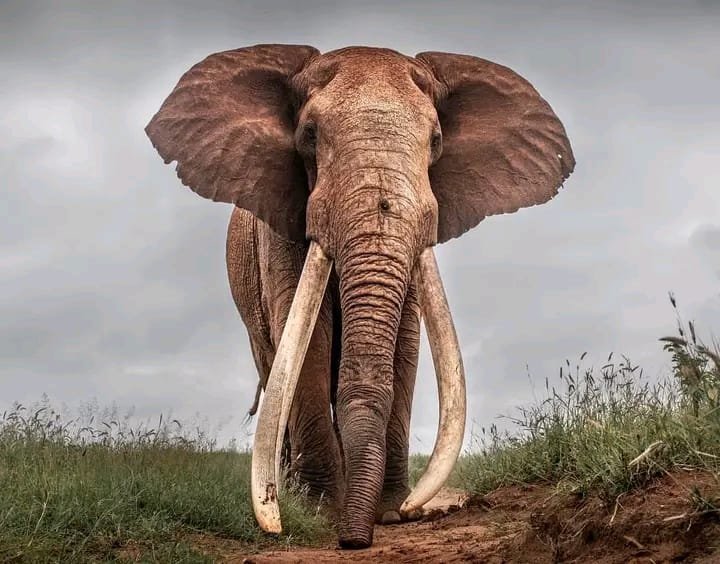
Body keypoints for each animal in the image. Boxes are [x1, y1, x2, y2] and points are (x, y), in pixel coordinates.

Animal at [145, 44, 574, 549]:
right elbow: (308, 341)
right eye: (309, 135)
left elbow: (405, 346)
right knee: (274, 367)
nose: (354, 541)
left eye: (436, 140)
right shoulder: (283, 225)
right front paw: (318, 512)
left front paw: (392, 513)